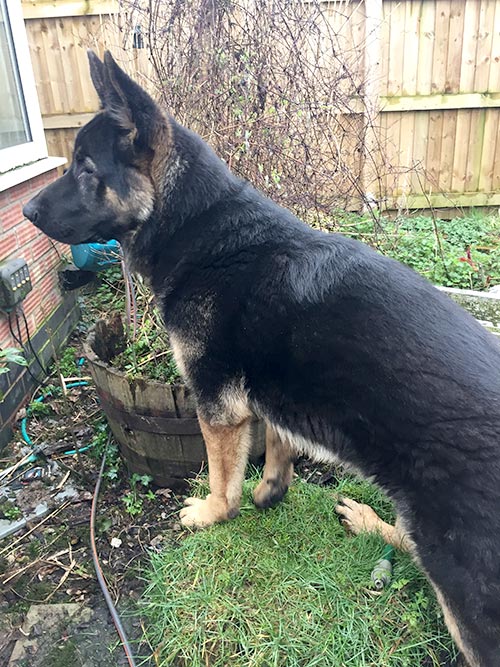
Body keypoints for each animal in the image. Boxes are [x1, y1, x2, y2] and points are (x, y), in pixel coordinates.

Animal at [24, 52, 500, 667]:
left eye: (86, 169)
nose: (26, 208)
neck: (199, 228)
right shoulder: (271, 394)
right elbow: (277, 447)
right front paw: (271, 492)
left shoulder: (218, 406)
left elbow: (222, 483)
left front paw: (211, 513)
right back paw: (366, 520)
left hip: (461, 579)